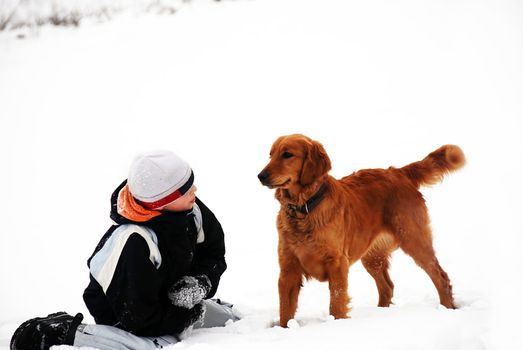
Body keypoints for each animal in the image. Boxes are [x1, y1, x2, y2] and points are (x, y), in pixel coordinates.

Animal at [258, 134, 466, 328]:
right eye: (271, 155)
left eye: (287, 154)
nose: (260, 176)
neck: (305, 209)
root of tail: (399, 172)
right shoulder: (288, 268)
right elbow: (285, 309)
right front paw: (285, 329)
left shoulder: (337, 263)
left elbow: (336, 302)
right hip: (372, 257)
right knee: (387, 287)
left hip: (414, 240)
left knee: (441, 277)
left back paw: (448, 308)